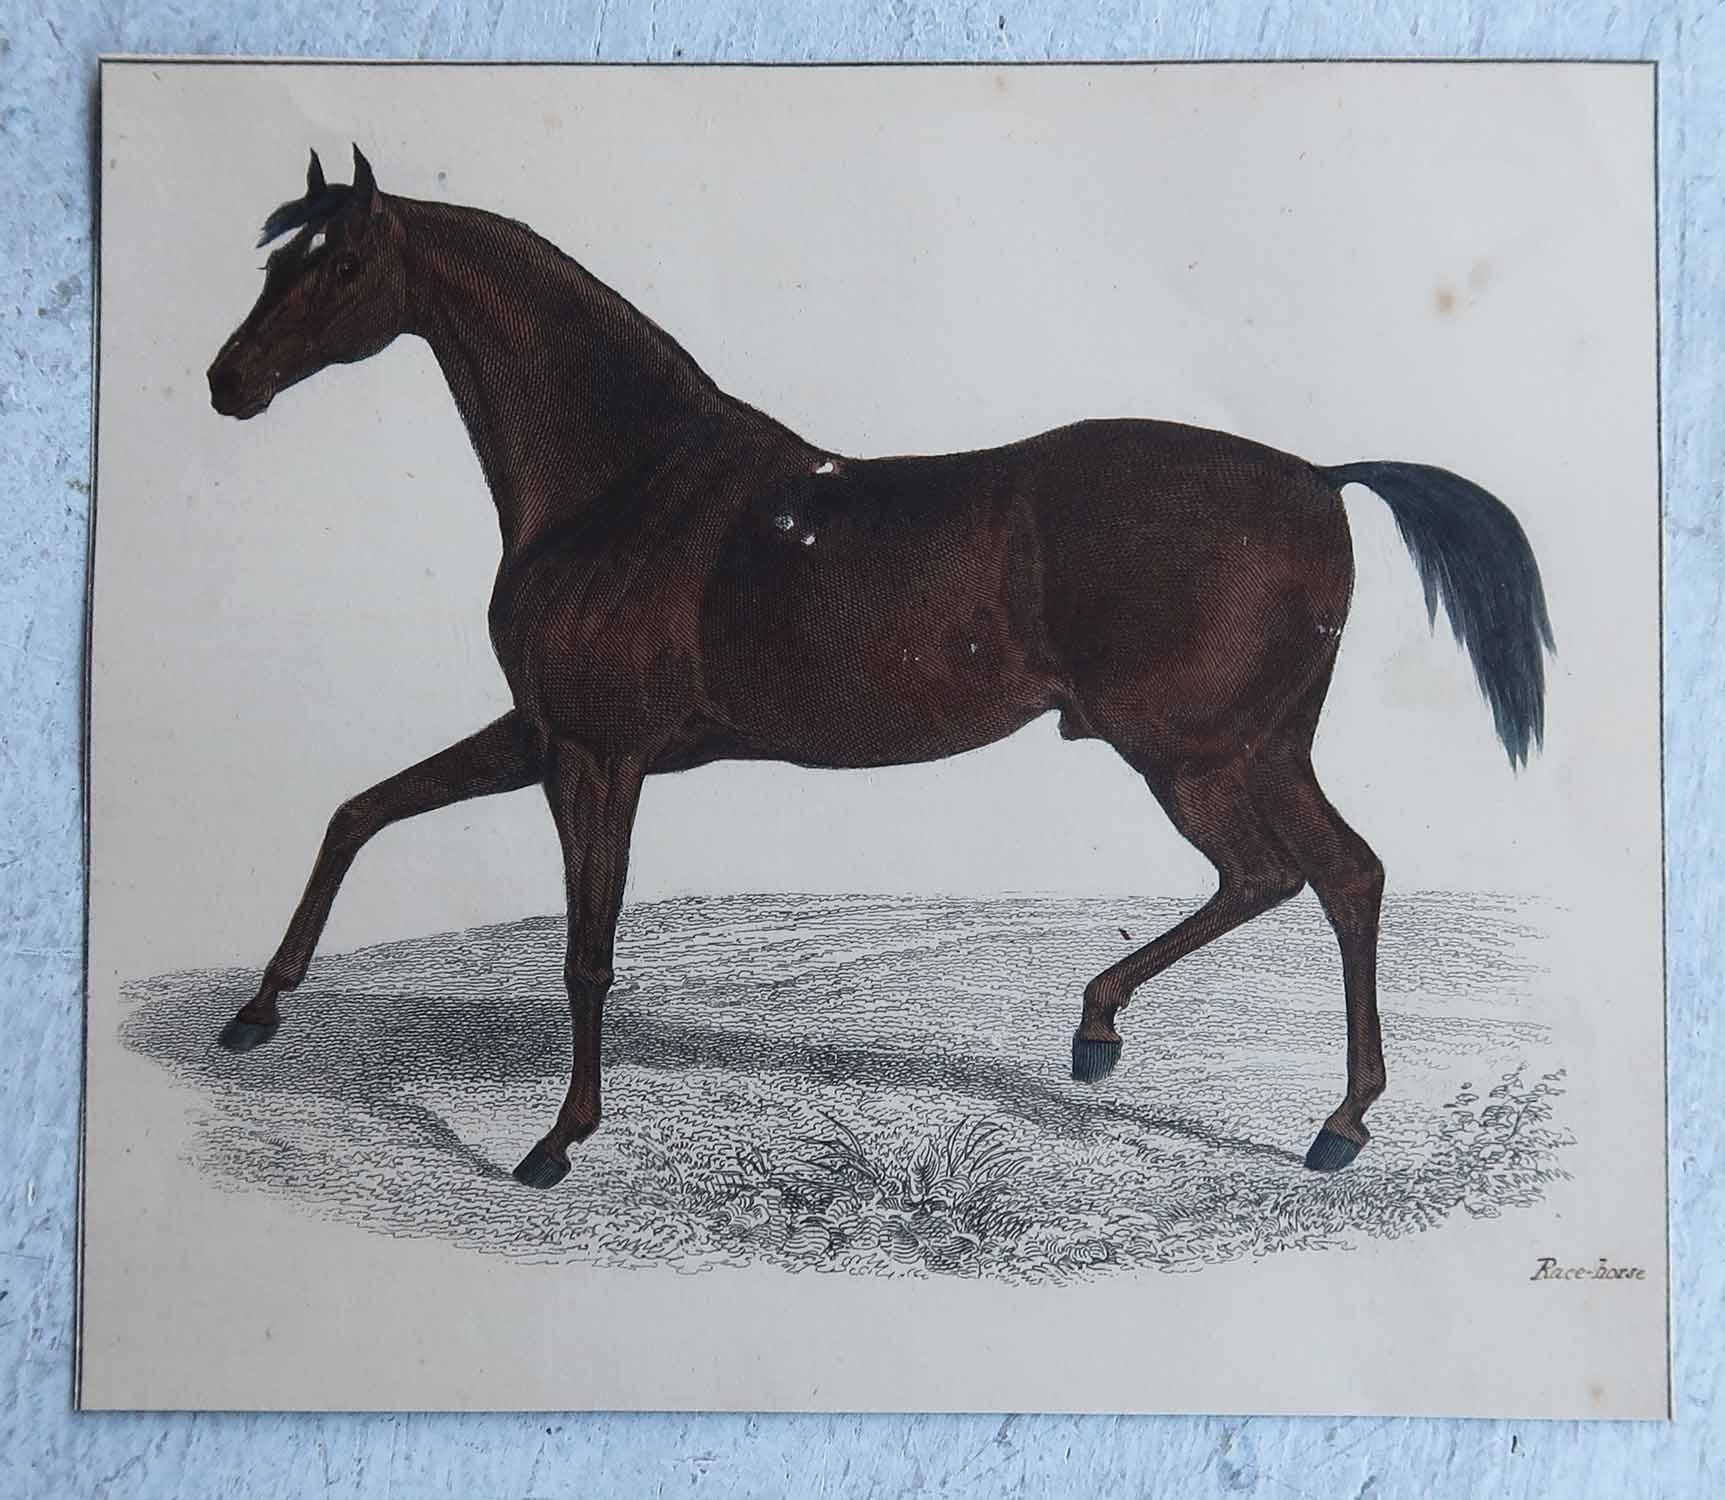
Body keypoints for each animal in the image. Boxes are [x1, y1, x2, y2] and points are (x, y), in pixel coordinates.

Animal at [206, 147, 1554, 1190]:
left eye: (341, 265)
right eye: (277, 258)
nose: (228, 382)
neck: (623, 485)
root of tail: (1321, 478)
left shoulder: (601, 755)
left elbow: (588, 951)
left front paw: (556, 1142)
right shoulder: (541, 733)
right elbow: (358, 814)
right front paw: (255, 1013)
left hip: (1200, 751)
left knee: (1321, 875)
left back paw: (1326, 1119)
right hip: (1243, 749)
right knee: (1302, 877)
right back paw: (1123, 1043)